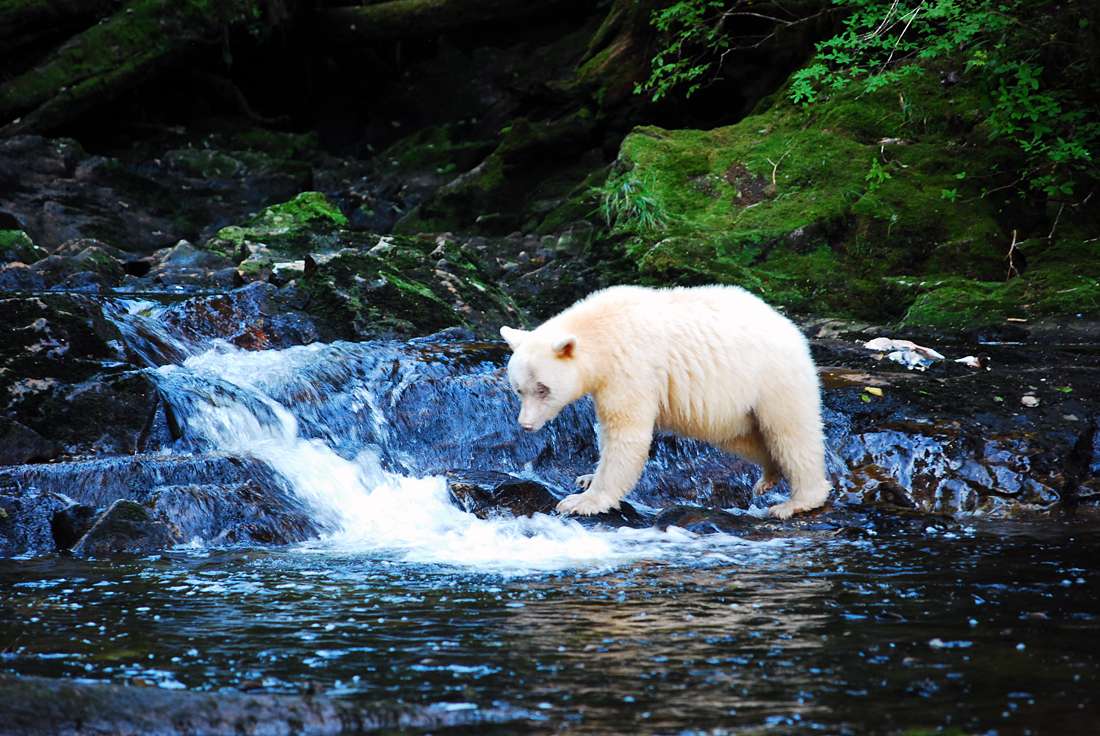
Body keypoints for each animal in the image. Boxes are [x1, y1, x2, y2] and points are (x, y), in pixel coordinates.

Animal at [503, 283, 827, 519]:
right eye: (519, 389)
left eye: (543, 388)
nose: (526, 424)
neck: (602, 330)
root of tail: (789, 326)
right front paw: (586, 477)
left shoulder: (630, 369)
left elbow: (626, 434)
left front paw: (582, 501)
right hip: (735, 405)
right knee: (746, 437)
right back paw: (769, 474)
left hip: (772, 378)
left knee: (791, 433)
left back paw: (797, 501)